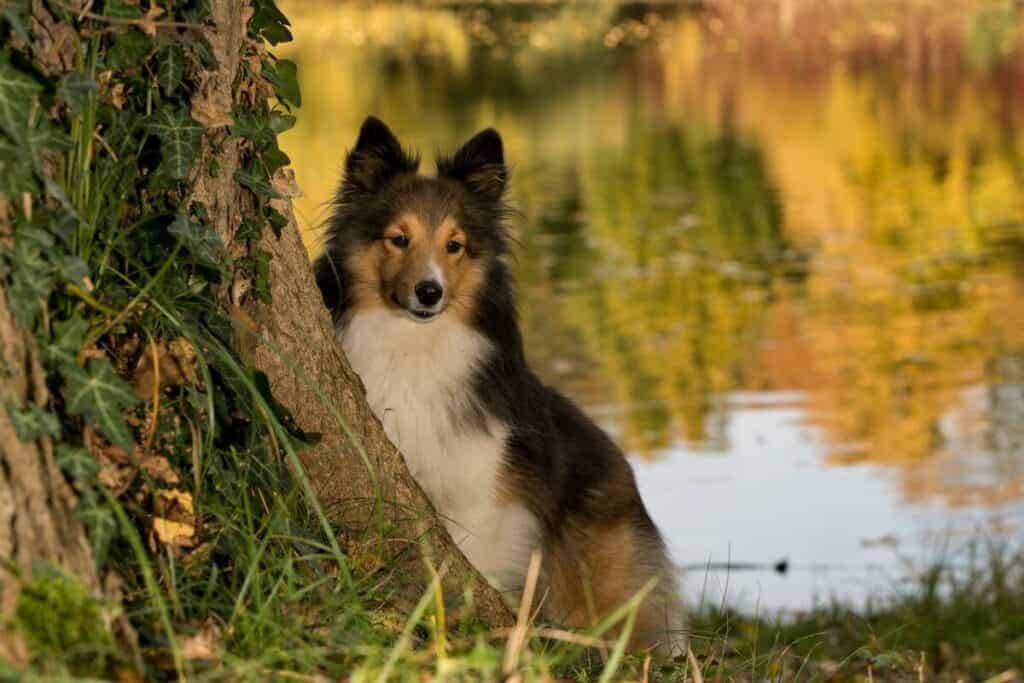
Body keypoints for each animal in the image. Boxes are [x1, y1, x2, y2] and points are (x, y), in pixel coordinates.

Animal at [311, 116, 679, 651]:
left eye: (455, 245)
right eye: (399, 239)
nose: (429, 292)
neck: (412, 345)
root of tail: (624, 470)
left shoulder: (479, 491)